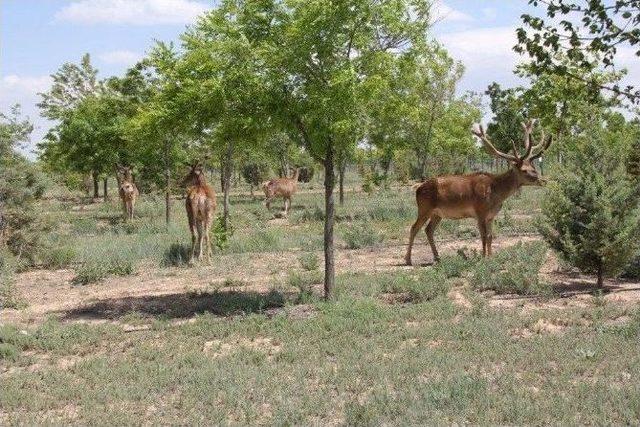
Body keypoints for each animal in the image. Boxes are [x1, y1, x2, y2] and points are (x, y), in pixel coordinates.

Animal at [404, 117, 552, 264]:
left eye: (533, 167)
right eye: (524, 170)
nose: (542, 180)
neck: (496, 193)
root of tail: (418, 188)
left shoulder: (491, 216)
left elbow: (490, 236)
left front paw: (491, 257)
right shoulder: (480, 211)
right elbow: (483, 236)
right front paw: (483, 258)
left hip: (437, 213)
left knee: (428, 230)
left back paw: (437, 257)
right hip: (424, 208)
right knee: (414, 228)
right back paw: (408, 259)